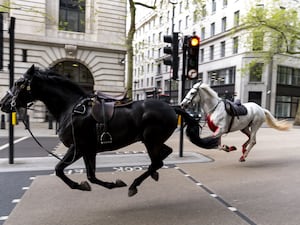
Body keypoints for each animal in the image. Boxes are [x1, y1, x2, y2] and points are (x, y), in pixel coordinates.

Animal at [0, 65, 218, 197]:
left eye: (19, 83)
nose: (3, 103)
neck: (70, 108)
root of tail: (172, 107)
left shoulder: (78, 148)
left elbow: (59, 170)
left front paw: (81, 185)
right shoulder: (88, 150)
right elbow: (91, 176)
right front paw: (106, 184)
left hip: (150, 140)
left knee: (158, 161)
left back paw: (135, 184)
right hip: (153, 140)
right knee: (163, 155)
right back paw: (151, 175)